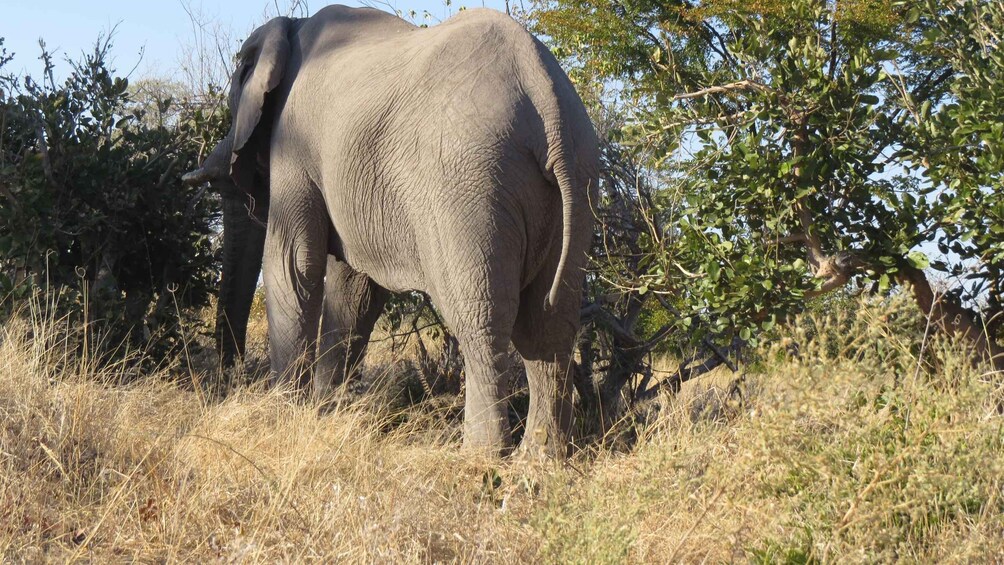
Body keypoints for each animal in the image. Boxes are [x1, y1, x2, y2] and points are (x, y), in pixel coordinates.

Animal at [182, 4, 599, 457]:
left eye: (238, 81)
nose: (228, 381)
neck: (289, 27)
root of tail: (546, 99)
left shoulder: (294, 143)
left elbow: (293, 263)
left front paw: (282, 414)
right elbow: (355, 290)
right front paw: (328, 413)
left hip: (470, 184)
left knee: (481, 318)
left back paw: (480, 456)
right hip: (576, 181)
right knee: (550, 325)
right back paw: (540, 459)